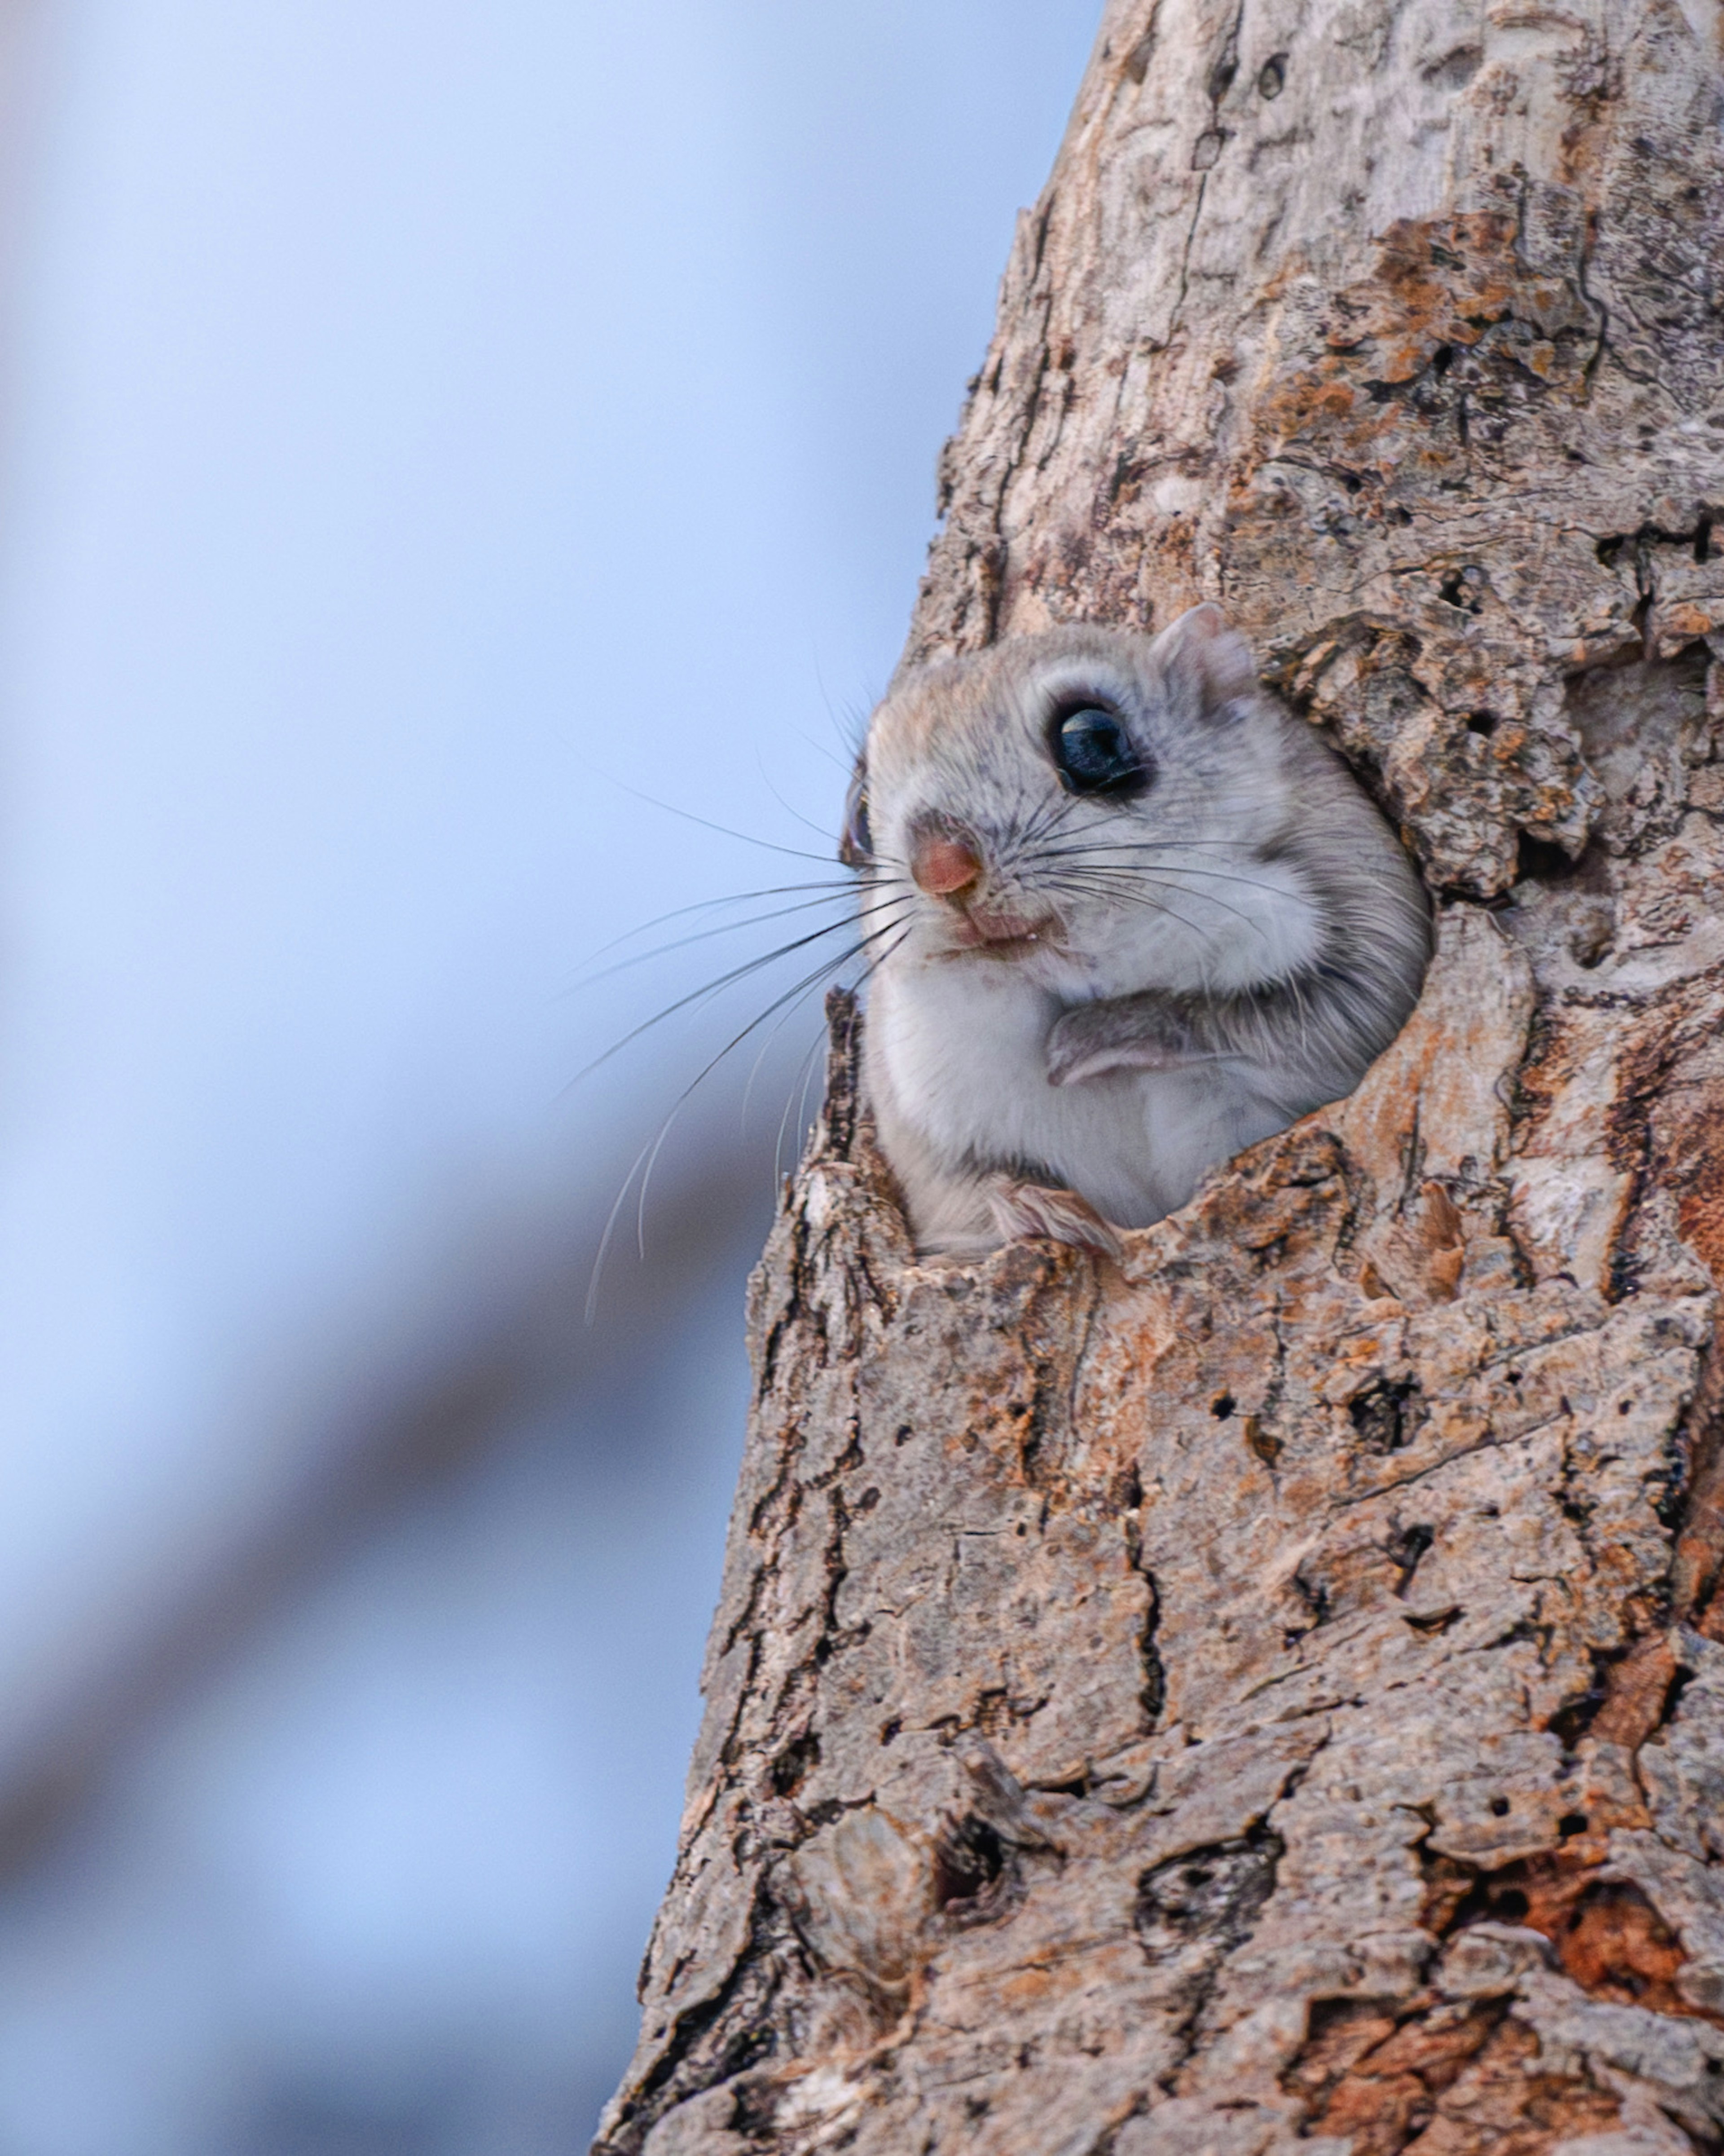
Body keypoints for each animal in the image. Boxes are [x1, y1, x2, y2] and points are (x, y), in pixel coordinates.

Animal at [844, 599, 1431, 1259]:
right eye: (858, 818)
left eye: (1094, 739)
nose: (942, 870)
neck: (1081, 969)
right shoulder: (913, 1109)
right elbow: (961, 1192)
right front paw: (1030, 1206)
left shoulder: (1366, 902)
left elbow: (1331, 1010)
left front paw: (1100, 1034)